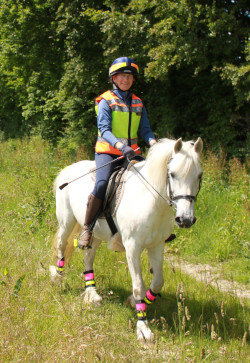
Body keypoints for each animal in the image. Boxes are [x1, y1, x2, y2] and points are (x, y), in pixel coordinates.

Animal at [49, 138, 203, 342]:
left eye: (199, 175)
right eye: (172, 174)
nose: (185, 219)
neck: (150, 199)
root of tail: (66, 170)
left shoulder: (157, 246)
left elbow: (158, 281)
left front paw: (134, 301)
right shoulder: (133, 247)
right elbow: (138, 285)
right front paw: (143, 328)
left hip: (95, 233)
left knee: (88, 258)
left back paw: (92, 294)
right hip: (67, 222)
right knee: (62, 246)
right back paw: (57, 278)